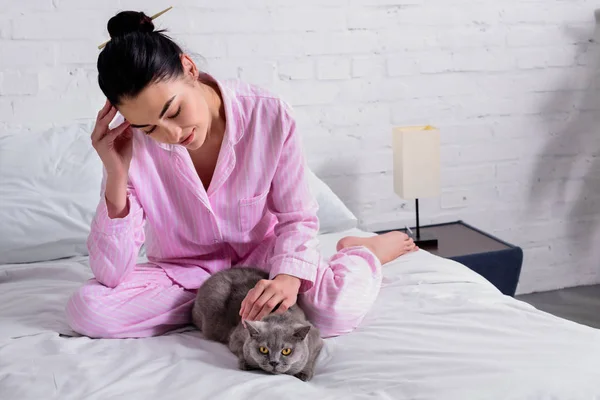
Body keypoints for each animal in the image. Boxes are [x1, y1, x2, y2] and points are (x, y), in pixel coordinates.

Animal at [192, 268, 324, 380]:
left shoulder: (316, 339)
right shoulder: (235, 336)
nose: (274, 362)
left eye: (286, 351)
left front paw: (304, 373)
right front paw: (246, 363)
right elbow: (241, 349)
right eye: (263, 349)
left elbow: (310, 357)